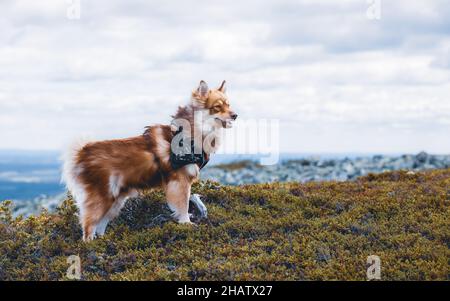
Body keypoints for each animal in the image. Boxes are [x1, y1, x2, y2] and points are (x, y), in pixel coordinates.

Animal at [63, 79, 239, 239]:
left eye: (228, 105)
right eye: (217, 107)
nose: (235, 115)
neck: (193, 132)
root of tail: (83, 151)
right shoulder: (180, 181)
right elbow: (183, 205)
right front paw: (186, 223)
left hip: (116, 200)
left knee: (100, 225)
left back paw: (103, 241)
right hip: (102, 198)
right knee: (88, 227)